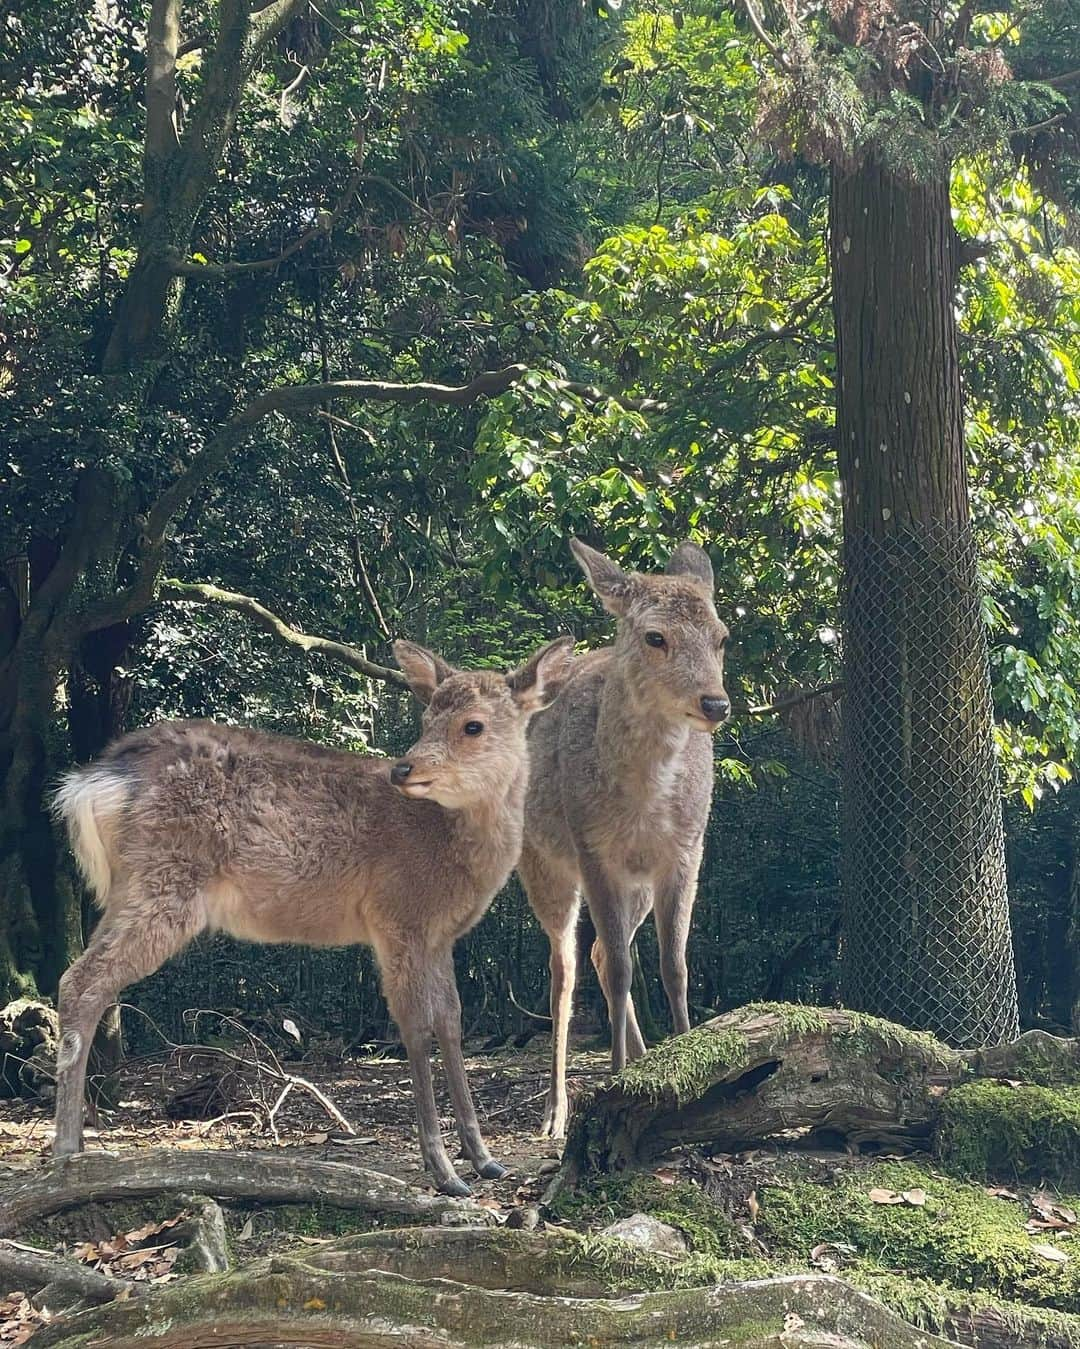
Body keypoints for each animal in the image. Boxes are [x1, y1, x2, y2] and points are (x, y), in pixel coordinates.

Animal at [51, 636, 577, 1197]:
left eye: (472, 725)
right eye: (427, 717)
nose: (404, 768)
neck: (453, 855)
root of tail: (89, 783)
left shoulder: (437, 935)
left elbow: (451, 1022)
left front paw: (484, 1159)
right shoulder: (395, 915)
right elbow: (415, 1027)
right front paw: (445, 1171)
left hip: (133, 887)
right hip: (163, 882)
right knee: (79, 981)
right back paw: (65, 1148)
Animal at [517, 536, 728, 1138]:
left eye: (722, 636)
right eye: (655, 637)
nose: (716, 703)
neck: (643, 808)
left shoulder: (687, 851)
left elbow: (675, 967)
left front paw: (686, 1060)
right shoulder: (594, 851)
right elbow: (620, 970)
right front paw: (611, 1078)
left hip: (635, 886)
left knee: (600, 956)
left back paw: (641, 1057)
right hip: (542, 866)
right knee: (566, 971)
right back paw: (555, 1112)